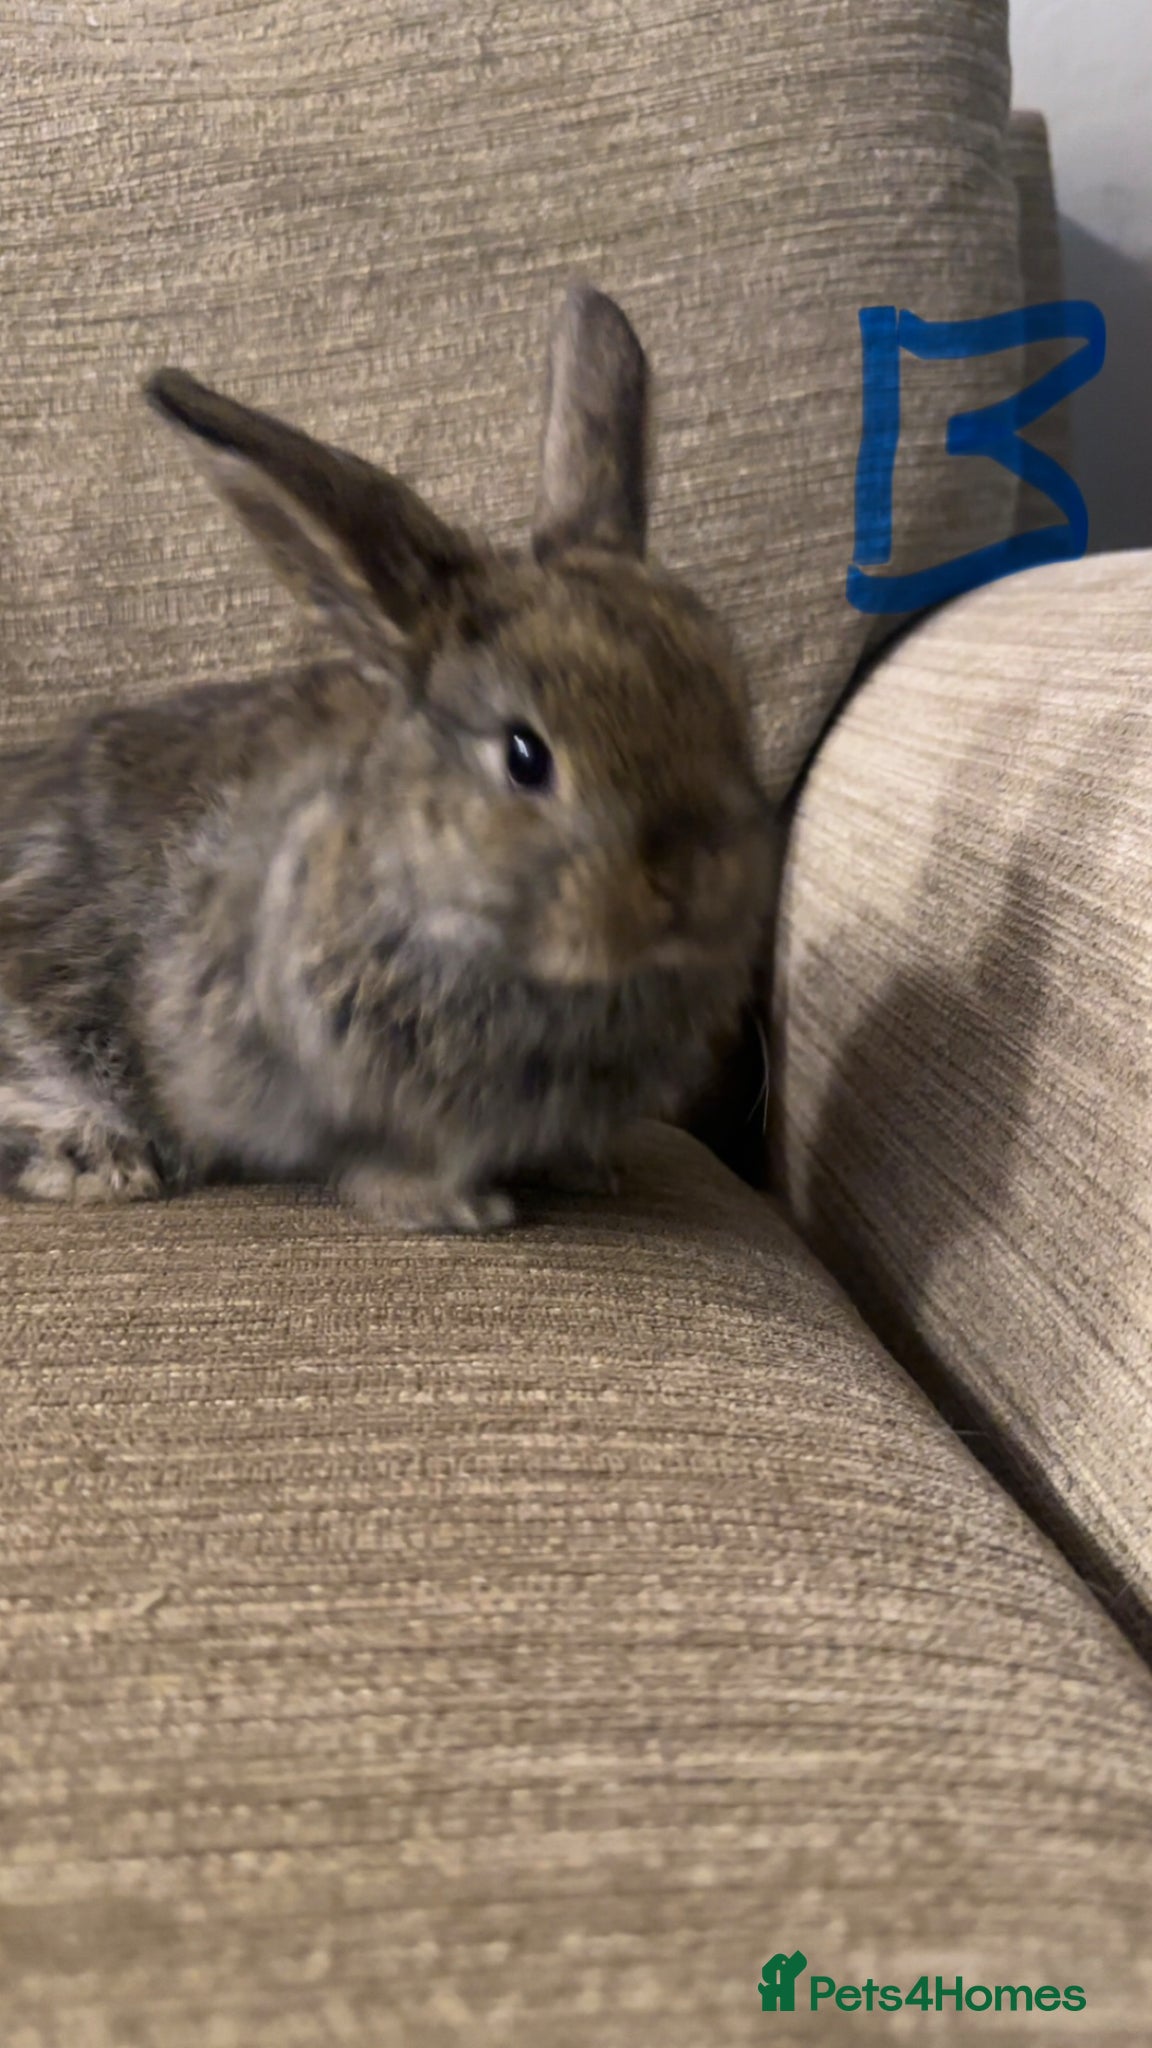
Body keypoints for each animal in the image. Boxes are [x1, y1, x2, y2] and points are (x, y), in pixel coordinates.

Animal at [0, 283, 778, 1232]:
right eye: (526, 756)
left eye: (732, 699)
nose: (699, 878)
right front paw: (456, 1210)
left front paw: (585, 1171)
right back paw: (102, 1162)